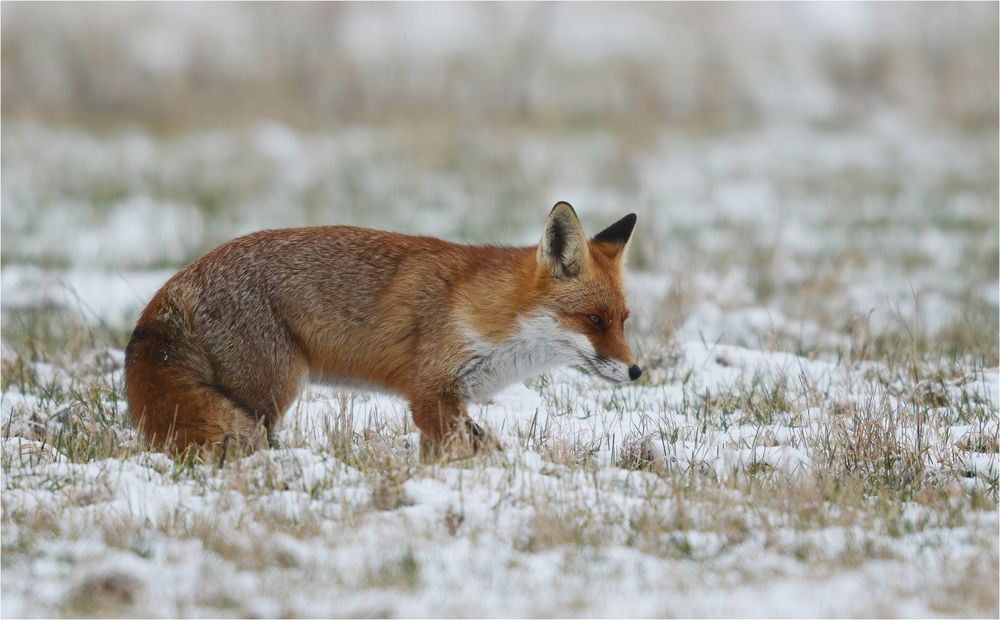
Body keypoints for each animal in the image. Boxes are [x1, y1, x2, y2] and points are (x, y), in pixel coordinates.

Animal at [125, 202, 640, 456]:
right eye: (593, 320)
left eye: (623, 320)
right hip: (268, 393)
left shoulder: (448, 404)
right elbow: (487, 447)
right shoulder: (430, 394)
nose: (636, 371)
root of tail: (174, 285)